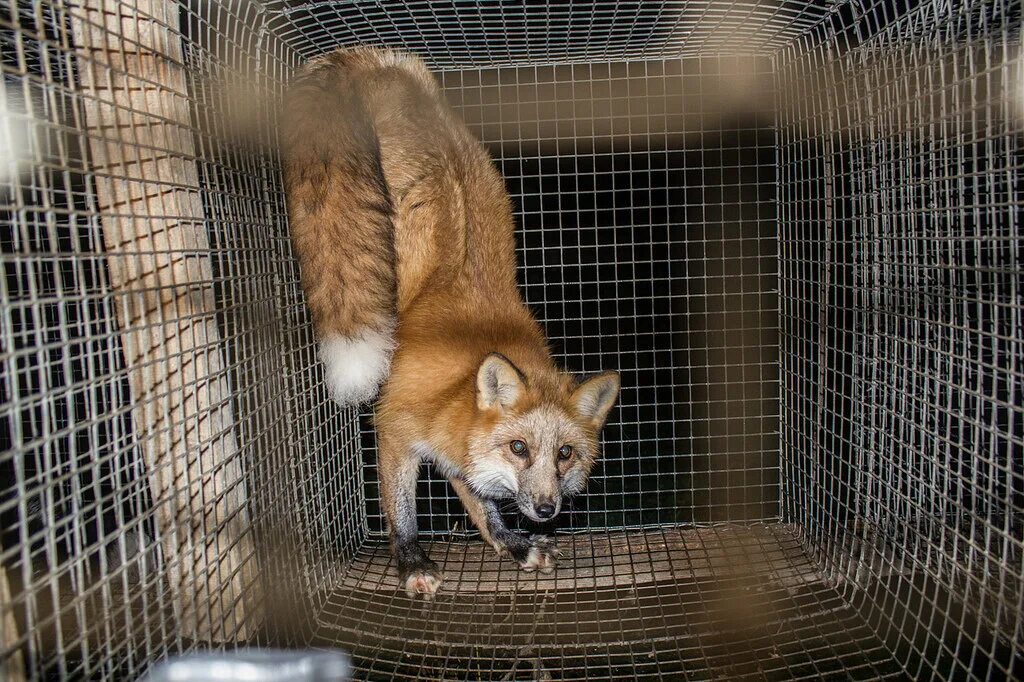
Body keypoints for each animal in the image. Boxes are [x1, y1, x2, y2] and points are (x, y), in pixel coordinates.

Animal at [280, 47, 618, 598]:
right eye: (519, 448)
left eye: (565, 453)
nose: (547, 509)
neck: (455, 391)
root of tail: (378, 61)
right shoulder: (396, 426)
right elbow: (402, 509)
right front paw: (411, 560)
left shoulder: (455, 449)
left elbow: (480, 502)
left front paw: (511, 543)